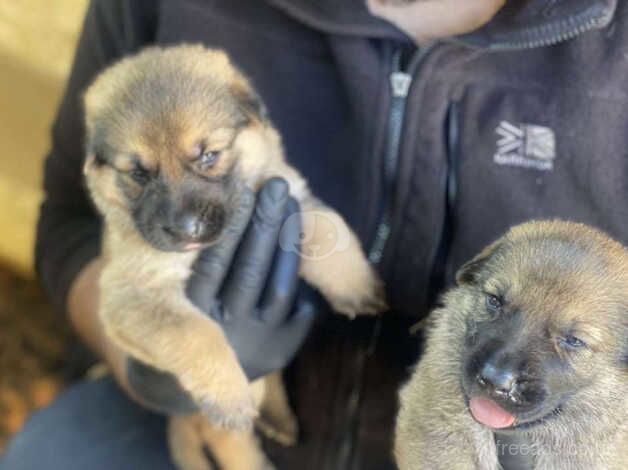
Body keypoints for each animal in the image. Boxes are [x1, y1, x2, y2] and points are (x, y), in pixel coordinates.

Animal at [82, 45, 388, 470]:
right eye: (139, 174)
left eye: (209, 155)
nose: (186, 229)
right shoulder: (135, 295)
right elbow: (198, 333)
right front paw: (228, 394)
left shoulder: (288, 194)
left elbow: (332, 229)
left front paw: (358, 288)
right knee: (234, 444)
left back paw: (278, 419)